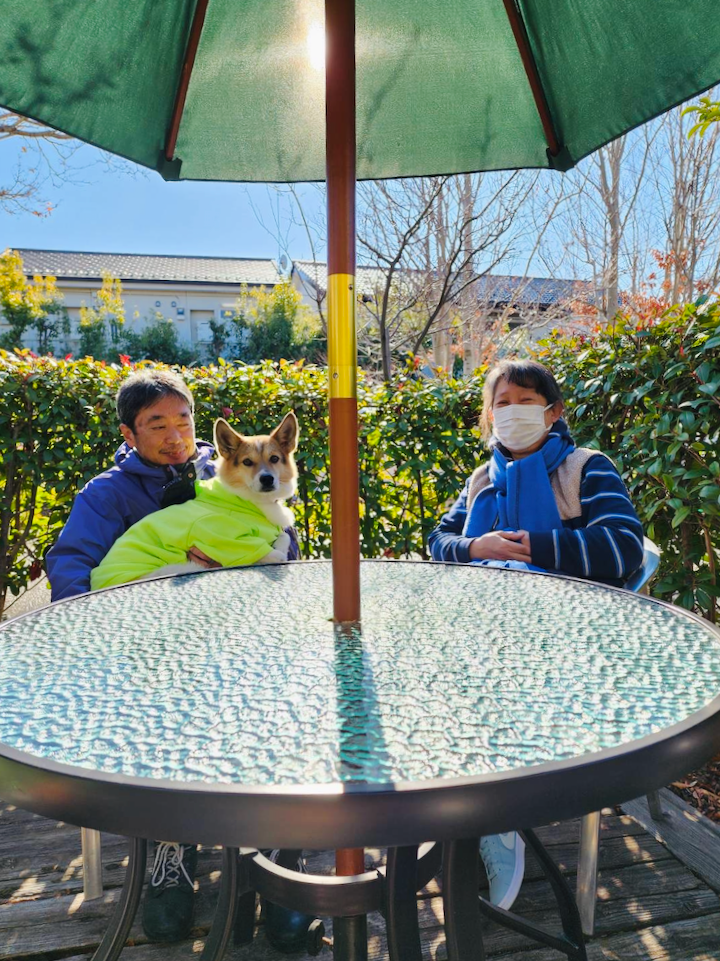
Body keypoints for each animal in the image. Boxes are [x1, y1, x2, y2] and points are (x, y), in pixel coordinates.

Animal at [90, 411, 299, 590]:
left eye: (274, 459)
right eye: (247, 462)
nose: (267, 479)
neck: (249, 500)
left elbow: (285, 536)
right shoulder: (218, 534)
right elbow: (264, 552)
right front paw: (276, 553)